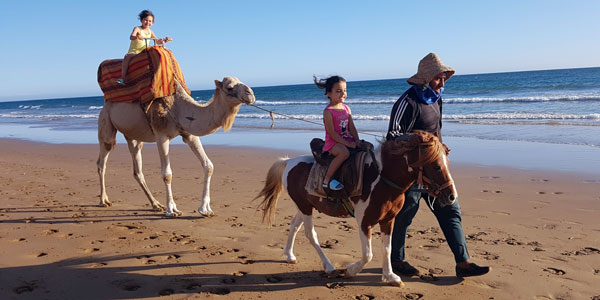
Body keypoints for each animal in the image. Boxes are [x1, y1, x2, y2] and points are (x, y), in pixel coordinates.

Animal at [96, 76, 255, 217]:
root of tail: (105, 103)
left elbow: (208, 166)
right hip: (106, 123)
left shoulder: (189, 134)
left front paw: (205, 209)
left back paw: (156, 205)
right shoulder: (161, 136)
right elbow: (167, 174)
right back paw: (104, 200)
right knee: (102, 162)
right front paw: (172, 210)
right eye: (229, 87)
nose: (251, 94)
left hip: (133, 137)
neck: (178, 107)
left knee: (137, 169)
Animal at [253, 129, 454, 286]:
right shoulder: (364, 223)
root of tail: (289, 162)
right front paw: (350, 270)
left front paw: (390, 276)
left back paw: (289, 255)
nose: (452, 196)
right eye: (436, 166)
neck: (380, 179)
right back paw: (329, 267)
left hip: (304, 207)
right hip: (305, 208)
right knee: (311, 234)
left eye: (447, 163)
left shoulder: (388, 220)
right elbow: (368, 255)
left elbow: (387, 249)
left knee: (294, 225)